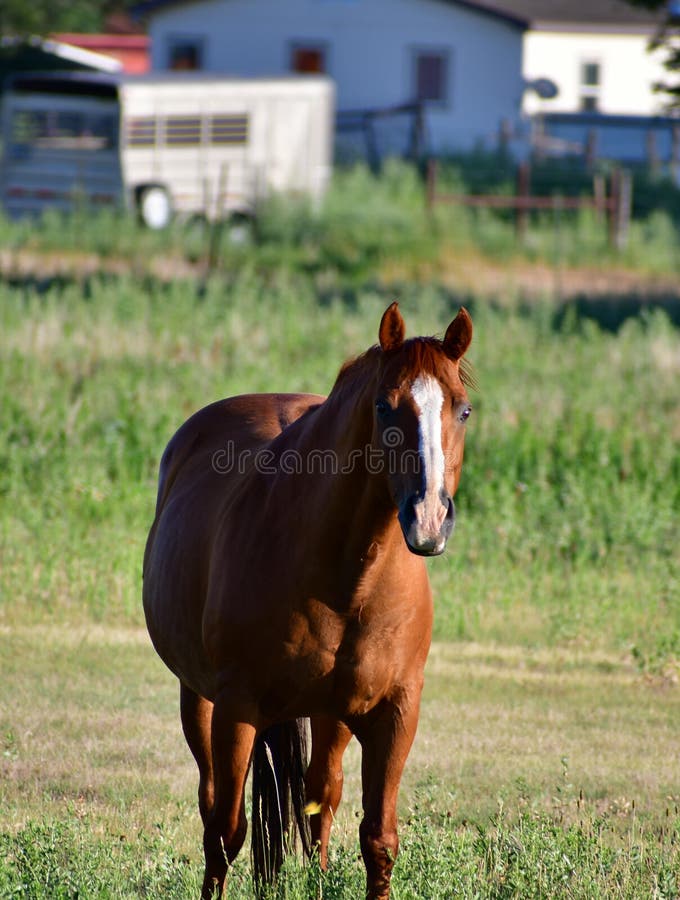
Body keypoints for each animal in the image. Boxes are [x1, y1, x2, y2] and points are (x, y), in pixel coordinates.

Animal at [143, 304, 472, 900]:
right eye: (385, 407)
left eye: (463, 409)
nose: (429, 519)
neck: (346, 579)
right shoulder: (237, 708)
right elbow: (226, 832)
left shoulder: (396, 712)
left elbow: (378, 839)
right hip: (198, 698)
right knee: (214, 804)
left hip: (330, 713)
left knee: (323, 797)